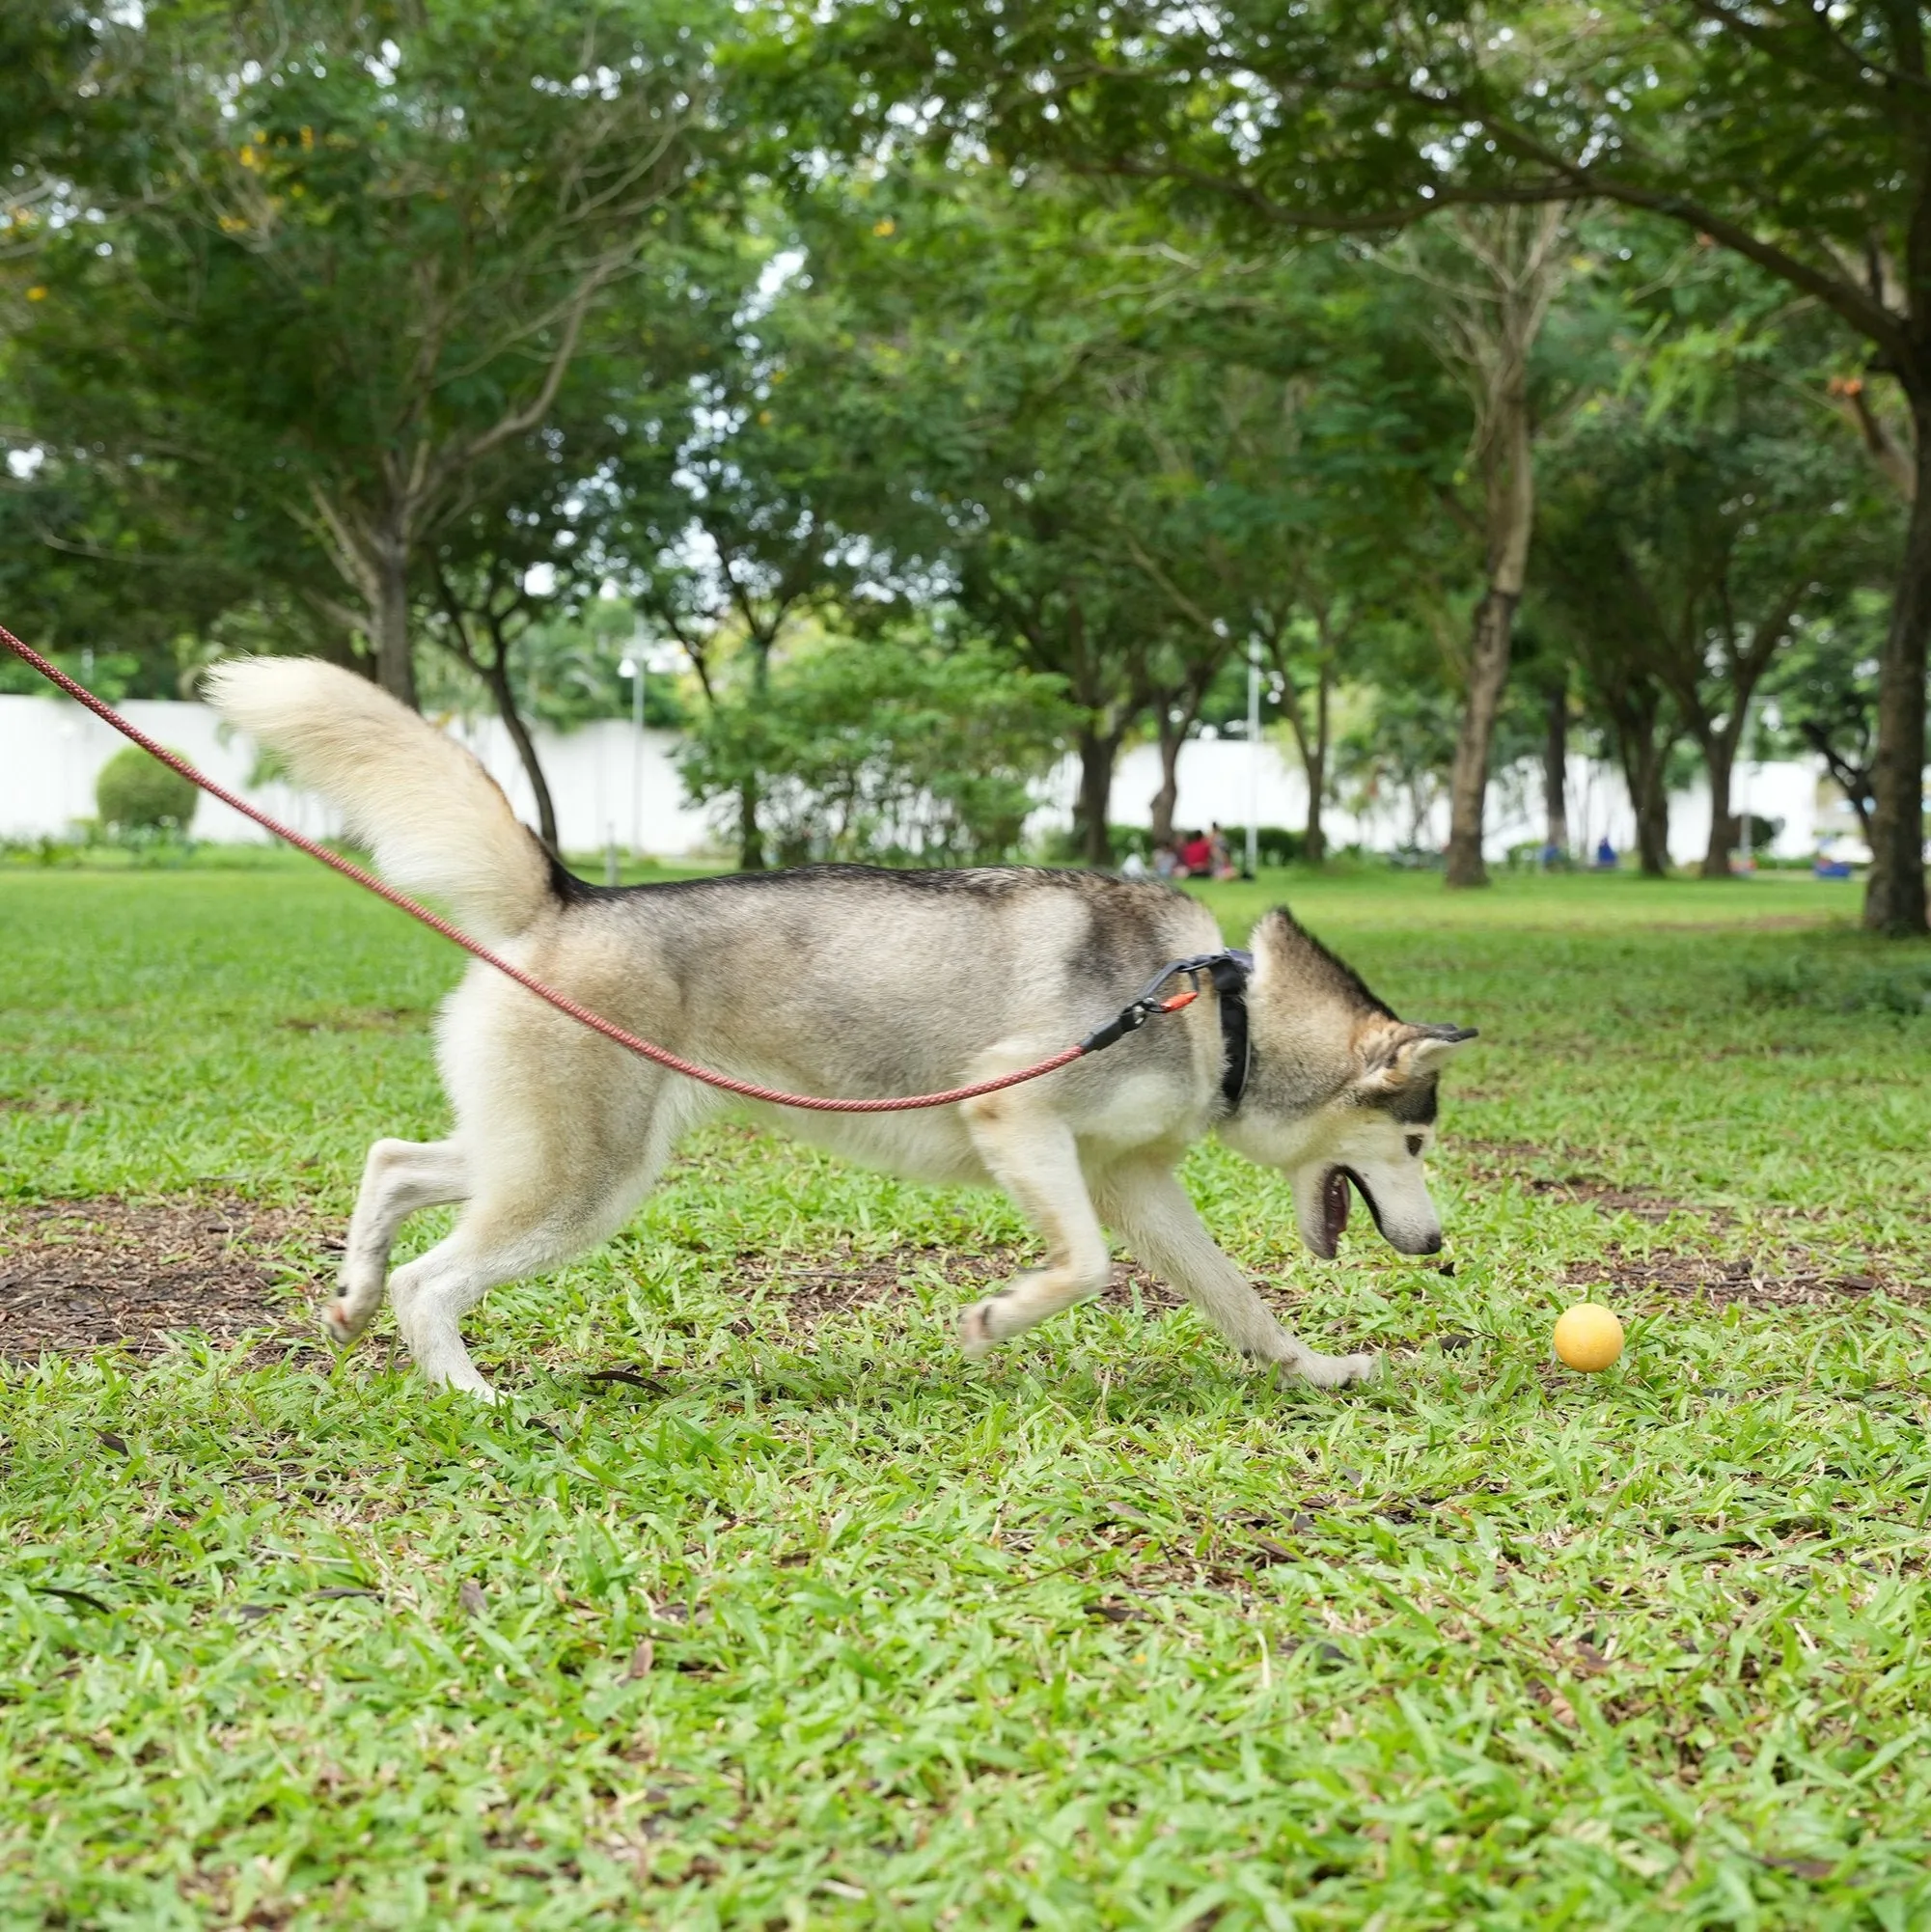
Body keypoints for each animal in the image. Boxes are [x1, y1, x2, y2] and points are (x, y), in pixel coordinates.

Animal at [211, 656, 1467, 1398]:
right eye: (1414, 1141)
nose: (1440, 1245)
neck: (1227, 1013)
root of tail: (569, 896)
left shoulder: (1132, 1177)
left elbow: (1236, 1297)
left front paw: (1316, 1369)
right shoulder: (1019, 1116)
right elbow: (1084, 1268)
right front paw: (995, 1321)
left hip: (556, 1150)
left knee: (395, 1164)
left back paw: (355, 1295)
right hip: (586, 1181)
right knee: (435, 1280)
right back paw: (472, 1395)